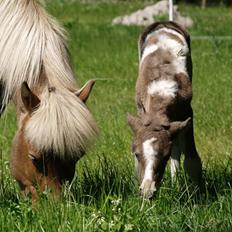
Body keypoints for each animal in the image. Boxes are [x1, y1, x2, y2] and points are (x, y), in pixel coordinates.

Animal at [128, 21, 202, 198]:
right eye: (137, 154)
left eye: (164, 157)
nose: (148, 191)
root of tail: (163, 23)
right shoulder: (141, 113)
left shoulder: (187, 113)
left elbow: (191, 161)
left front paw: (200, 195)